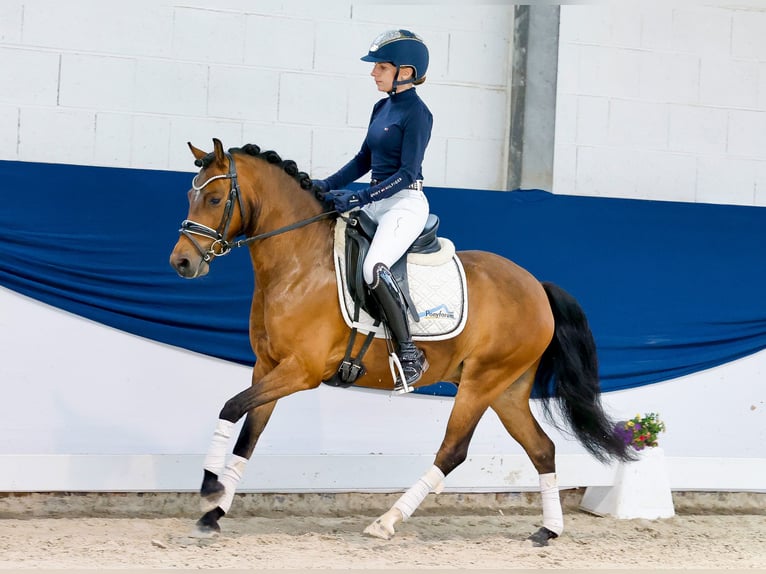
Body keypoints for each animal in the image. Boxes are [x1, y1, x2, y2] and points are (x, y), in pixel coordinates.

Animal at [169, 138, 632, 546]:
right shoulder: (267, 367)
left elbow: (230, 408)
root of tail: (537, 285)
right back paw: (547, 531)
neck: (300, 263)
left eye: (214, 199)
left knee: (453, 451)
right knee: (542, 449)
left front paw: (209, 489)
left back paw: (386, 522)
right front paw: (213, 514)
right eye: (190, 196)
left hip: (482, 383)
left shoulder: (300, 371)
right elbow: (248, 435)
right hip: (508, 390)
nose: (182, 263)